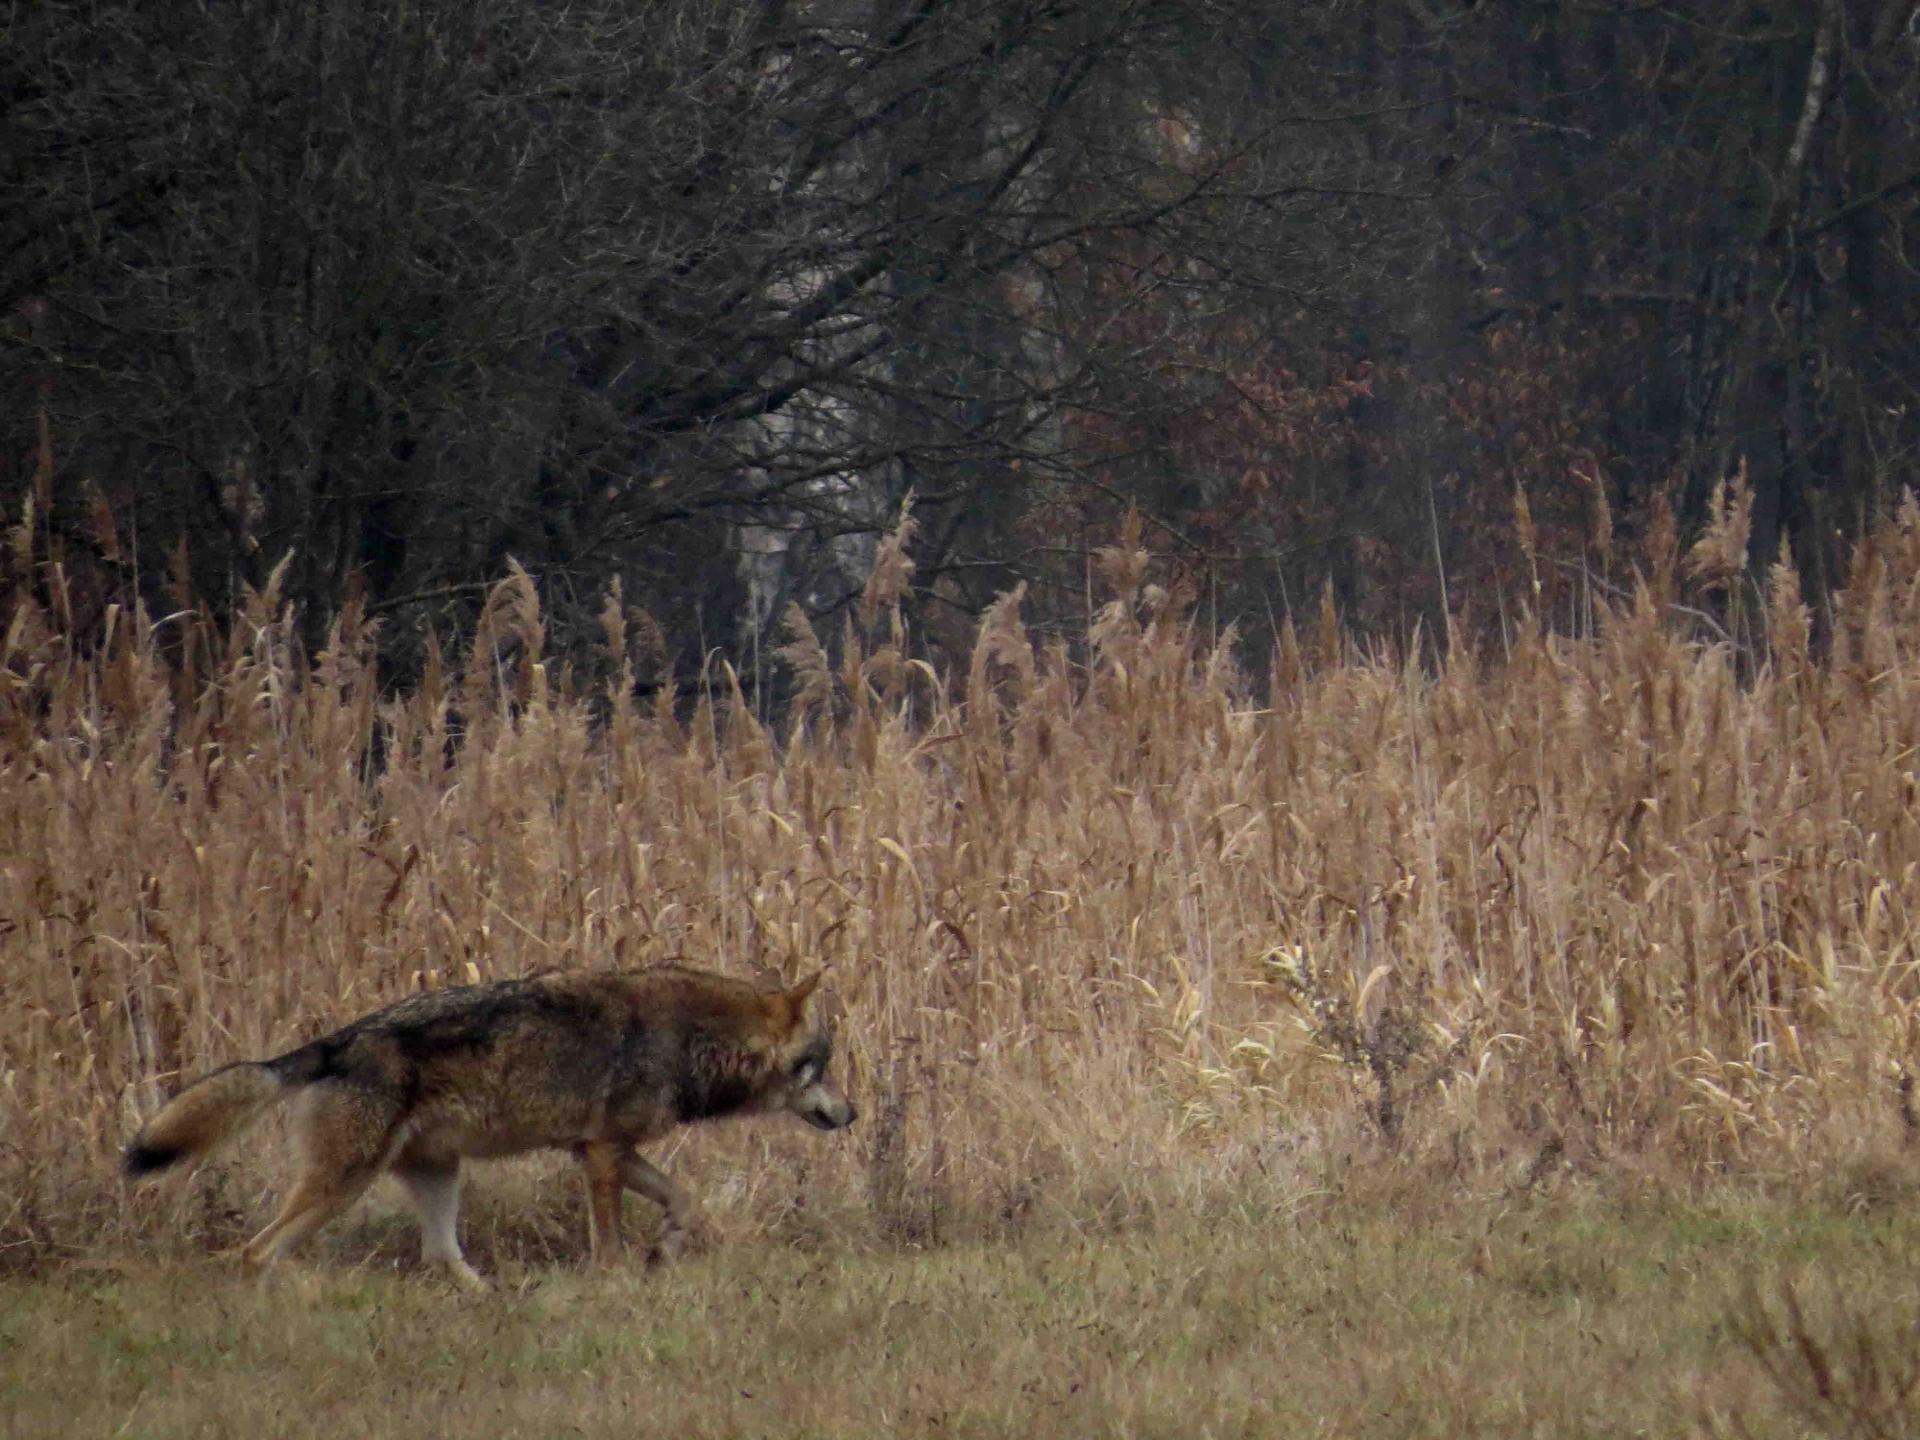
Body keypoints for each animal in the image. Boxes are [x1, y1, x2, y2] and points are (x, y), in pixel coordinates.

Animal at [120, 963, 856, 1290]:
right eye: (821, 1067)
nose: (851, 1114)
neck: (692, 1034)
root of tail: (332, 1044)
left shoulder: (602, 1149)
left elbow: (687, 1199)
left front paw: (664, 1251)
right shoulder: (600, 1154)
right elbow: (609, 1244)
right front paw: (619, 1281)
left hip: (439, 1177)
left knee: (442, 1255)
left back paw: (495, 1301)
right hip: (341, 1186)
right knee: (256, 1252)